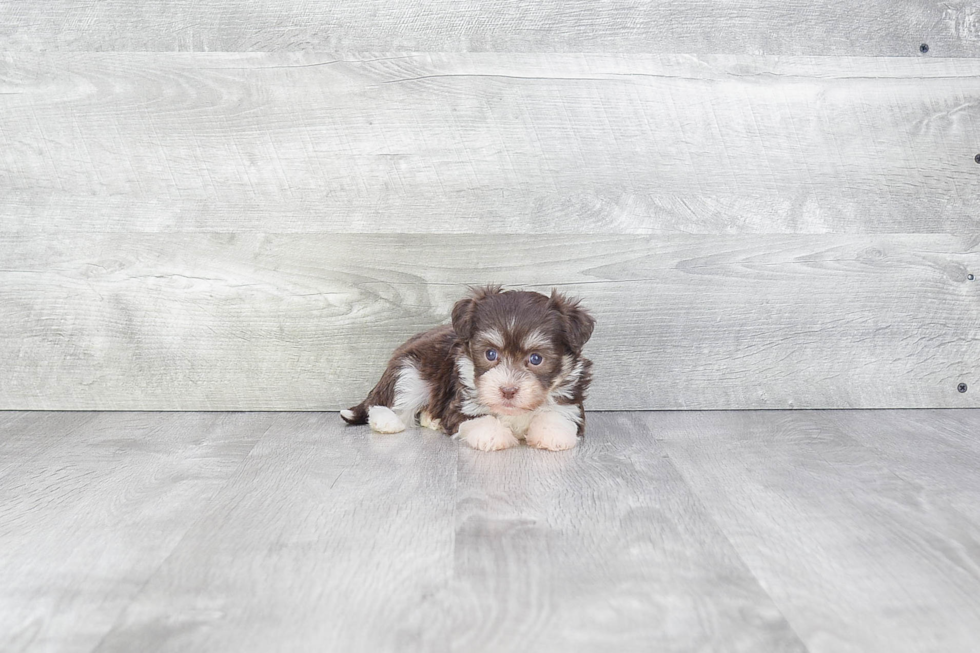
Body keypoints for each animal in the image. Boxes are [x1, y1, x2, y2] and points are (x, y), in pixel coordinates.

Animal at [340, 286, 592, 454]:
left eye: (536, 359)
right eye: (490, 354)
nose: (508, 391)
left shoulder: (571, 403)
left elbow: (559, 414)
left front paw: (553, 432)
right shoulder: (461, 402)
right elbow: (477, 418)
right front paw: (493, 434)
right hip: (410, 373)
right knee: (388, 403)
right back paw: (387, 421)